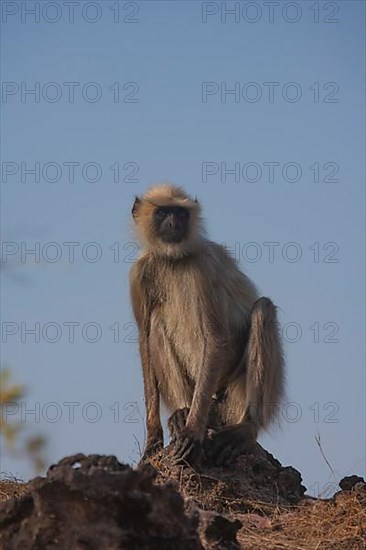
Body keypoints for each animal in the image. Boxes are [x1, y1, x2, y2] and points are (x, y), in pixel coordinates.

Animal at [129, 184, 286, 466]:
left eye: (181, 213)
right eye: (163, 213)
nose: (173, 222)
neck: (173, 259)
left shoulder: (203, 266)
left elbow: (215, 337)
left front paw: (192, 431)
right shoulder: (139, 273)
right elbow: (144, 341)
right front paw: (152, 442)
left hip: (234, 394)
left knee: (263, 309)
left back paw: (245, 427)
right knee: (157, 321)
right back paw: (183, 410)